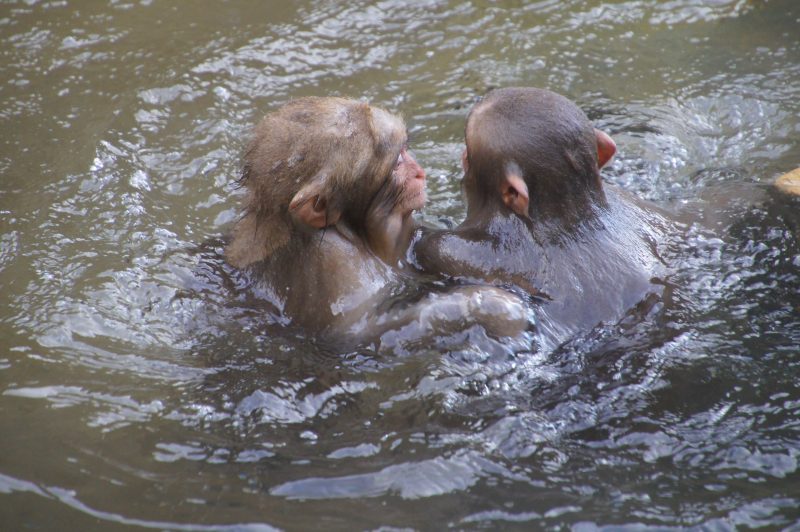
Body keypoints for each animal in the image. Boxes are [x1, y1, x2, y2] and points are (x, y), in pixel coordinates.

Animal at [225, 96, 531, 348]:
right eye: (396, 163)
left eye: (405, 150)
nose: (419, 172)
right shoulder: (336, 263)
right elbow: (357, 334)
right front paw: (490, 305)